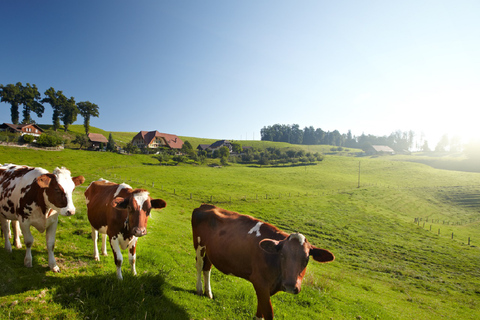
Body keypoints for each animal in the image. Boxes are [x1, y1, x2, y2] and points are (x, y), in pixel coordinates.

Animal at [190, 205, 334, 320]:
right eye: (282, 255)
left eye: (306, 259)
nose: (289, 286)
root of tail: (205, 205)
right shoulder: (260, 282)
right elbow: (268, 313)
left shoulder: (265, 287)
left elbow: (261, 310)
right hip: (199, 244)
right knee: (199, 266)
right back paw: (199, 289)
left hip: (210, 250)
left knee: (207, 268)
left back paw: (208, 293)